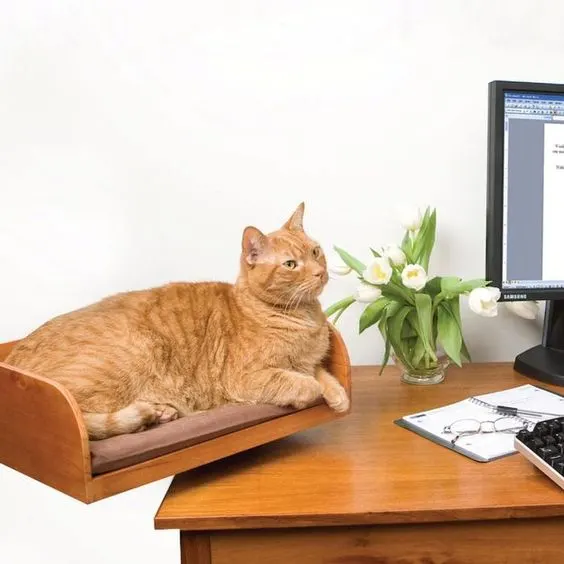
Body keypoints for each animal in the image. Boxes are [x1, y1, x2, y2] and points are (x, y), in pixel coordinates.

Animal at [5, 203, 348, 440]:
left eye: (315, 252)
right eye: (290, 265)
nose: (320, 272)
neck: (303, 317)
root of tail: (11, 363)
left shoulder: (309, 362)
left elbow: (324, 375)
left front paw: (339, 398)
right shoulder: (246, 378)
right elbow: (303, 382)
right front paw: (314, 392)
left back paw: (159, 414)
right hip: (127, 356)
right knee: (91, 422)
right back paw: (151, 413)